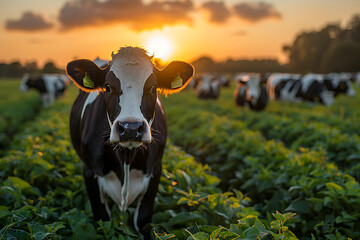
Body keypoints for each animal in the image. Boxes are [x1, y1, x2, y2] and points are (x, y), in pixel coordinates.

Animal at [65, 46, 193, 238]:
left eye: (153, 87)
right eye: (108, 87)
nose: (130, 128)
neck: (126, 157)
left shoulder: (155, 170)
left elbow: (142, 221)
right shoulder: (89, 171)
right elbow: (103, 220)